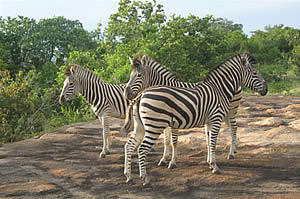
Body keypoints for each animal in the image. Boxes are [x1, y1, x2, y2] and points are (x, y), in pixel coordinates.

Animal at [123, 52, 268, 185]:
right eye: (255, 73)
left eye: (138, 75)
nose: (266, 89)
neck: (219, 89)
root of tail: (141, 95)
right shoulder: (214, 120)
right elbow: (207, 142)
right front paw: (213, 166)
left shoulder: (208, 121)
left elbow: (208, 142)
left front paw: (209, 163)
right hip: (154, 125)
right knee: (140, 148)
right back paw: (144, 178)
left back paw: (129, 176)